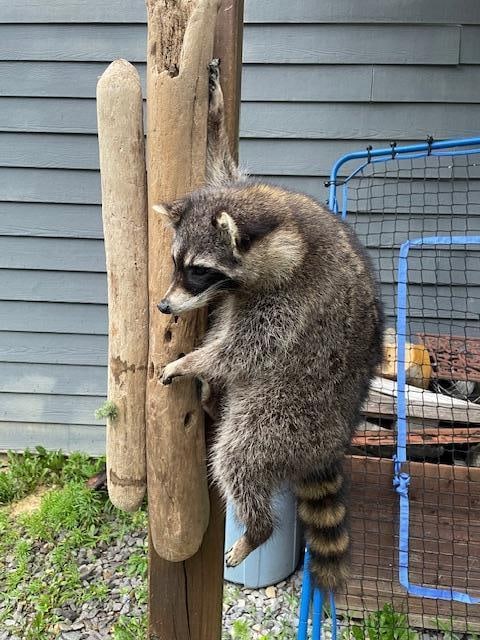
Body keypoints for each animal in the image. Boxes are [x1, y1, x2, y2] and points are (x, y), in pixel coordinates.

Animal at [155, 60, 384, 591]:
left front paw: (191, 361)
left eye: (198, 271)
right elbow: (221, 166)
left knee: (241, 452)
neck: (285, 229)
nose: (164, 306)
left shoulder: (297, 297)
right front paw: (214, 111)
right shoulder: (240, 194)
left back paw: (256, 527)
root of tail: (331, 442)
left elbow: (246, 348)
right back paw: (211, 397)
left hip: (288, 413)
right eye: (176, 263)